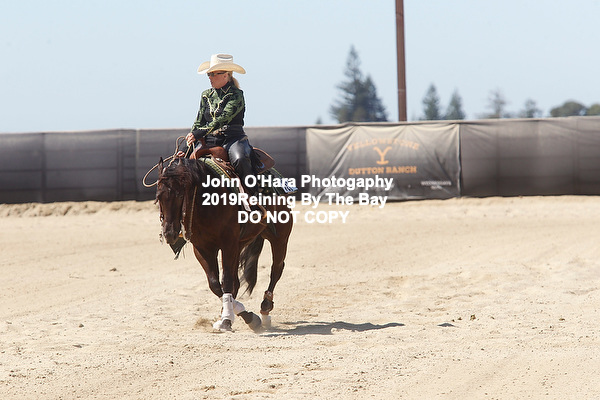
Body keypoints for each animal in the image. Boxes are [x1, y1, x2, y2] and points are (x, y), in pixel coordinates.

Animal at [154, 156, 293, 332]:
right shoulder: (202, 249)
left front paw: (228, 319)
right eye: (159, 196)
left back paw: (265, 310)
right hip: (240, 244)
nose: (169, 234)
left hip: (280, 237)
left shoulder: (228, 244)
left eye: (180, 195)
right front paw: (240, 315)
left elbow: (226, 281)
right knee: (237, 282)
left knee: (276, 269)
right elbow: (215, 284)